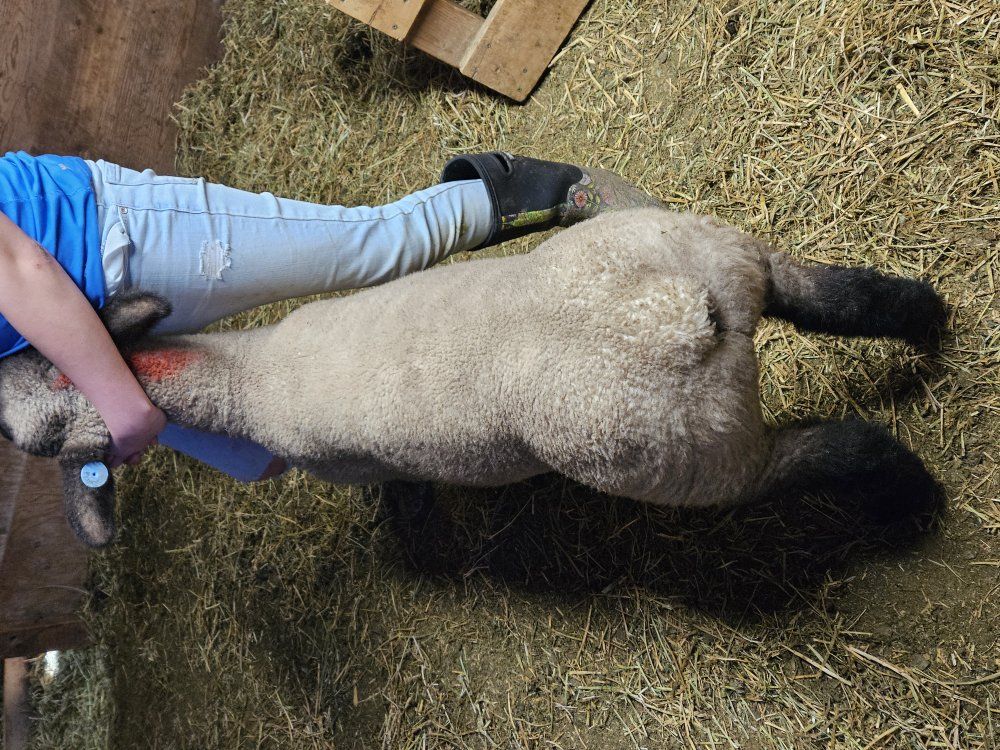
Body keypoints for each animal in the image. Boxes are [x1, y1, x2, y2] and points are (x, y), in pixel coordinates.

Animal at [0, 208, 945, 547]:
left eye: (16, 430)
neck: (249, 380)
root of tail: (671, 316)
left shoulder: (362, 462)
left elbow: (402, 495)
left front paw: (414, 529)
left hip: (688, 461)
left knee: (838, 451)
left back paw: (915, 503)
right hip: (729, 253)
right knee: (847, 296)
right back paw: (934, 325)